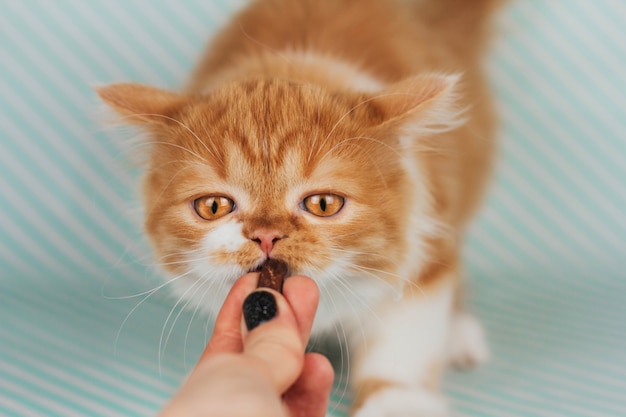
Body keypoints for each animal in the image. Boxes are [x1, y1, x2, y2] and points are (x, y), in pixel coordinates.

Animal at [98, 0, 498, 412]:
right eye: (213, 206)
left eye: (323, 204)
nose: (266, 235)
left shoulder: (423, 231)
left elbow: (406, 338)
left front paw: (396, 401)